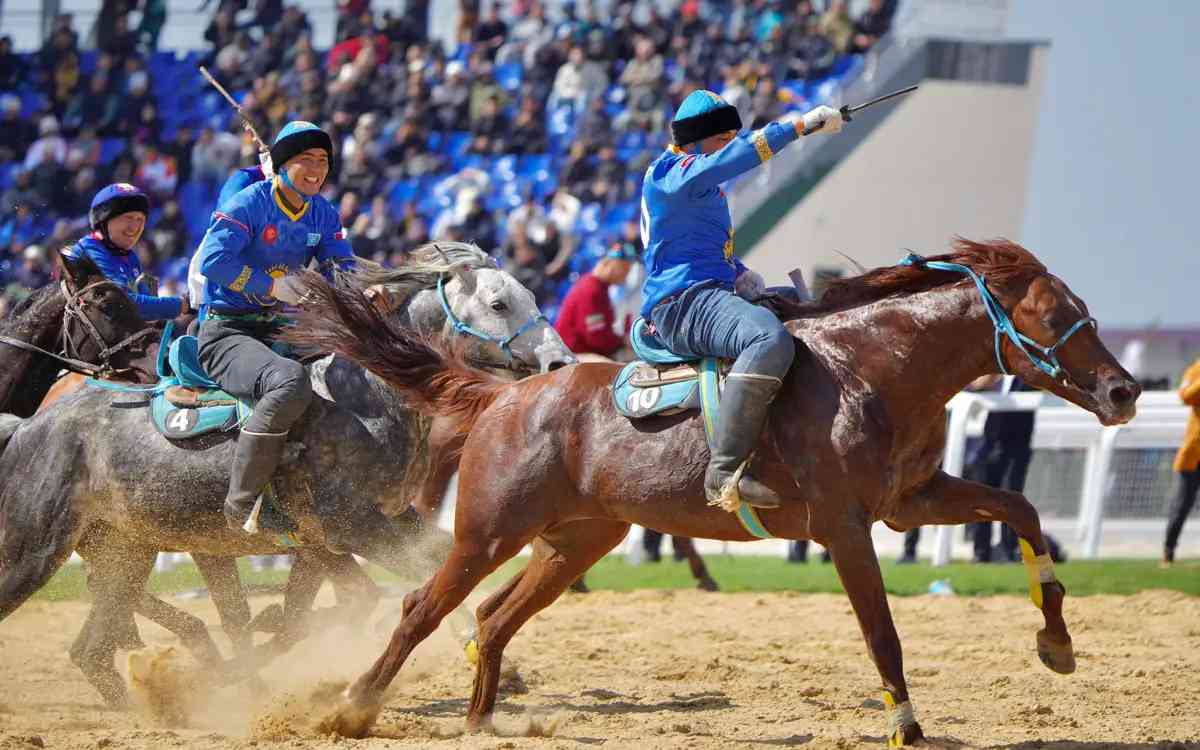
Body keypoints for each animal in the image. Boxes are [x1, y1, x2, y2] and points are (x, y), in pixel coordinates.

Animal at [0, 242, 576, 705]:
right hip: (35, 550)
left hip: (128, 552)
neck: (359, 397)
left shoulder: (353, 531)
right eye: (499, 304)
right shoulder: (347, 526)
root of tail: (34, 426)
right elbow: (371, 593)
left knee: (92, 650)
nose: (561, 363)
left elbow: (407, 576)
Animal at [292, 240, 1142, 744]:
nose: (1124, 391)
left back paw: (480, 724)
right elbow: (883, 632)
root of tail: (503, 394)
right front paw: (905, 722)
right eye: (1053, 315)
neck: (869, 369)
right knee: (420, 609)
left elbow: (1022, 511)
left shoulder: (916, 500)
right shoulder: (845, 527)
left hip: (575, 543)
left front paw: (1056, 642)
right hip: (486, 535)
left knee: (493, 619)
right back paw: (352, 707)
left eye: (1087, 312)